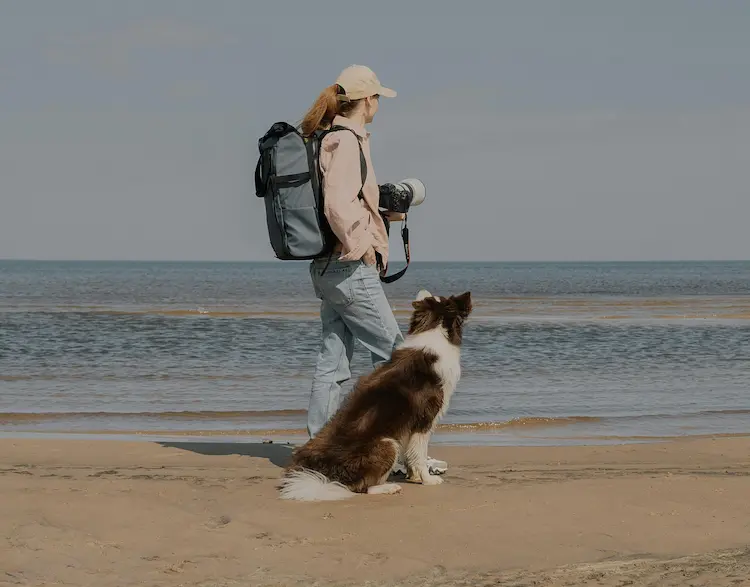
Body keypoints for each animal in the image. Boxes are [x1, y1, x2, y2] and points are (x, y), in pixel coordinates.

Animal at [280, 290, 472, 500]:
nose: (422, 290)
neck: (433, 329)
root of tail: (326, 478)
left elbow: (410, 454)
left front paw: (413, 476)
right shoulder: (424, 420)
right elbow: (419, 454)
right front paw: (428, 479)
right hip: (387, 443)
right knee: (360, 488)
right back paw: (388, 487)